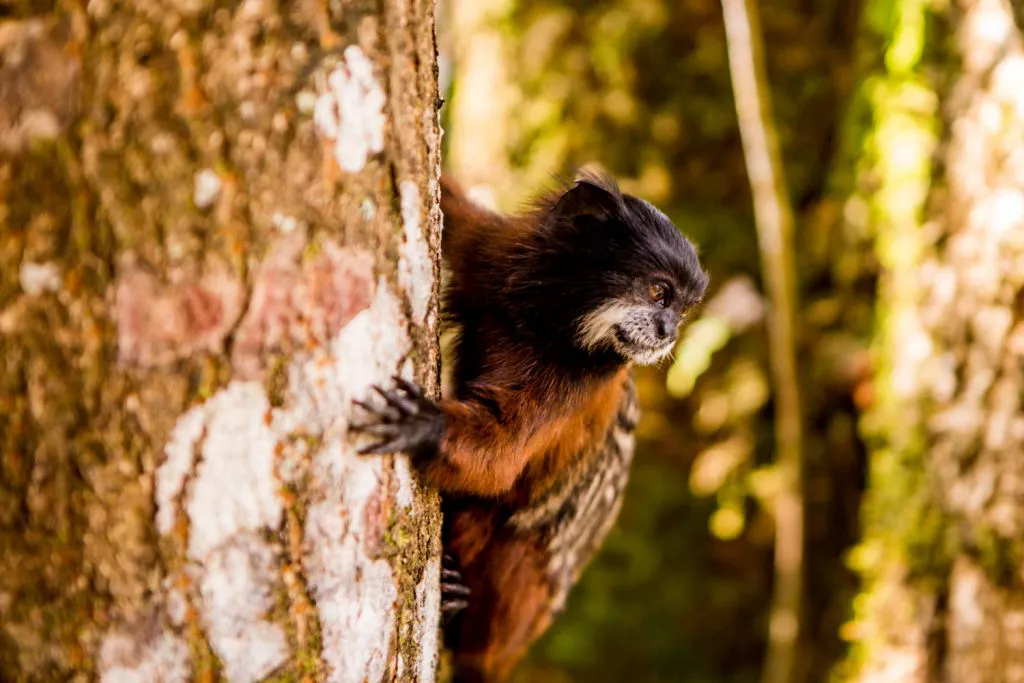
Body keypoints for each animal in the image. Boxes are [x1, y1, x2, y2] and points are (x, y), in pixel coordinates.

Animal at [352, 166, 704, 683]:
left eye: (680, 310)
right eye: (660, 294)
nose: (668, 333)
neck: (545, 326)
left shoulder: (573, 386)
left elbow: (501, 460)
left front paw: (423, 427)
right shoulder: (489, 253)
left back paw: (456, 607)